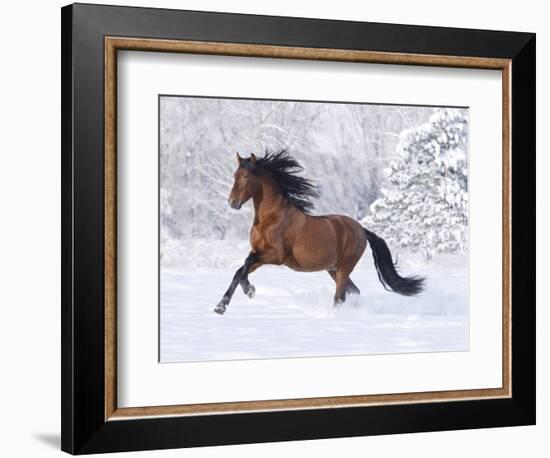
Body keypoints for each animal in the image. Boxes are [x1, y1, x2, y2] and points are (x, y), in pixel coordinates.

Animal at [213, 150, 424, 314]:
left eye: (246, 177)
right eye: (234, 175)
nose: (232, 202)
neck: (271, 218)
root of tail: (361, 229)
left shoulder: (275, 256)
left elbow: (246, 264)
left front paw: (247, 292)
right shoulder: (259, 253)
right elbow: (240, 271)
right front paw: (223, 305)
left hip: (344, 268)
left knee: (340, 297)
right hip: (333, 269)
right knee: (353, 292)